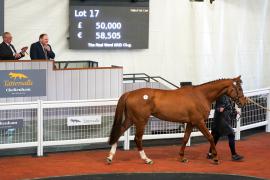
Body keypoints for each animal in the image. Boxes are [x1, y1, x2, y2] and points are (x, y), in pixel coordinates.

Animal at [105, 76, 247, 165]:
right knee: (137, 139)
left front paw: (182, 157)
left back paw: (110, 157)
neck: (201, 95)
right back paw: (147, 160)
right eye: (239, 88)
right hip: (140, 121)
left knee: (119, 132)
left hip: (131, 119)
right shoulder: (199, 122)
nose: (243, 102)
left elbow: (185, 138)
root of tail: (129, 93)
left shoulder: (190, 123)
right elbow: (210, 137)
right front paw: (215, 158)